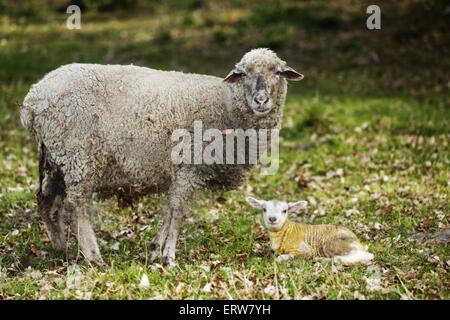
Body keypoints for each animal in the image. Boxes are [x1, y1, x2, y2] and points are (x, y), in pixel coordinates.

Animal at [20, 48, 302, 266]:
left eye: (278, 72)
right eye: (243, 74)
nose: (261, 100)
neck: (226, 105)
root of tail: (32, 101)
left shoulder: (179, 172)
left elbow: (169, 210)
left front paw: (156, 249)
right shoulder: (188, 167)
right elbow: (177, 212)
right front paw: (169, 256)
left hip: (58, 160)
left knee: (47, 202)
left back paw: (62, 249)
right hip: (79, 156)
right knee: (74, 206)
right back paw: (93, 256)